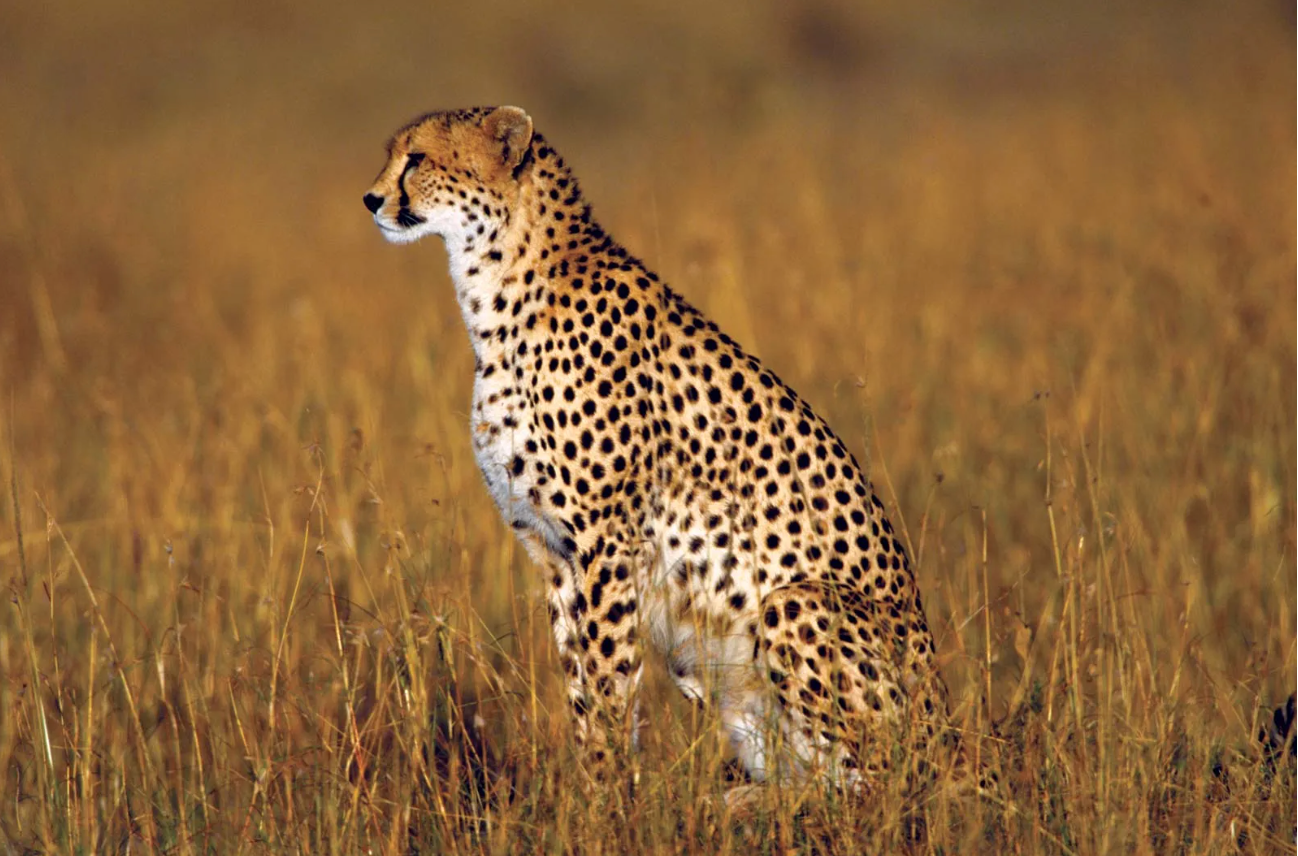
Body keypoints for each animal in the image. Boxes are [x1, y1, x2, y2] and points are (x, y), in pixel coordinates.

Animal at [362, 106, 988, 802]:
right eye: (393, 154)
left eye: (417, 159)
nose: (372, 199)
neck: (497, 285)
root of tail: (956, 736)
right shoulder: (552, 552)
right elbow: (581, 685)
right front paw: (593, 790)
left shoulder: (607, 543)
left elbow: (609, 683)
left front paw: (609, 798)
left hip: (795, 604)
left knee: (886, 788)